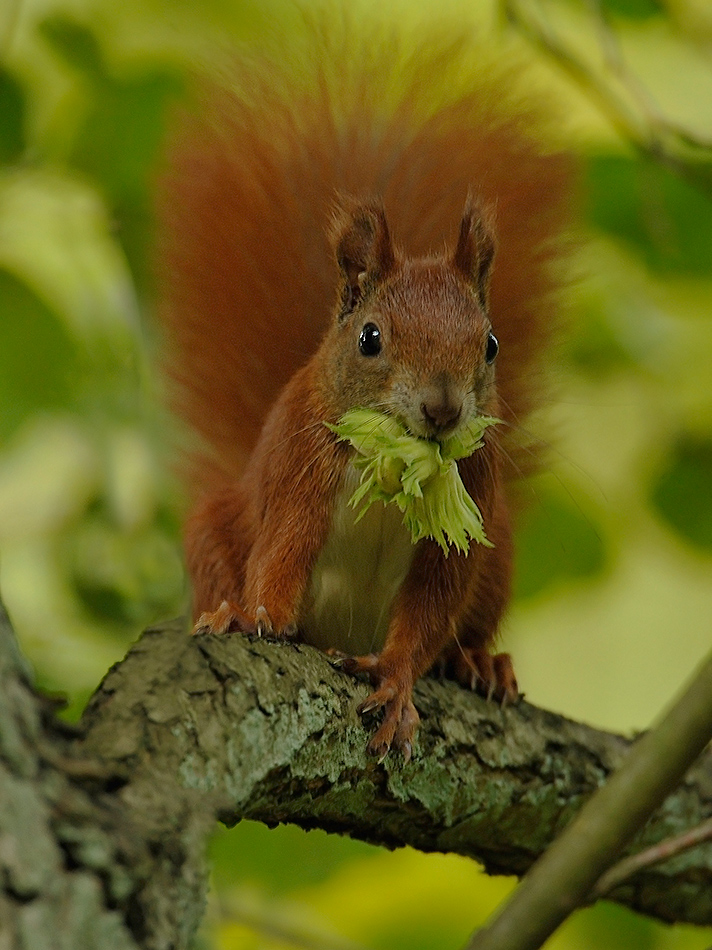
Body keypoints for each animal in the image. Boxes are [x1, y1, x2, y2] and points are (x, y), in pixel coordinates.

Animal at [159, 26, 576, 764]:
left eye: (491, 344)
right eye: (371, 337)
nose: (443, 410)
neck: (393, 470)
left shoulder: (466, 510)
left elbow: (431, 608)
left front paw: (401, 681)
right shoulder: (301, 470)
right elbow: (280, 553)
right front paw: (255, 615)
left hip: (498, 551)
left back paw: (479, 661)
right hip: (218, 523)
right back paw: (224, 608)